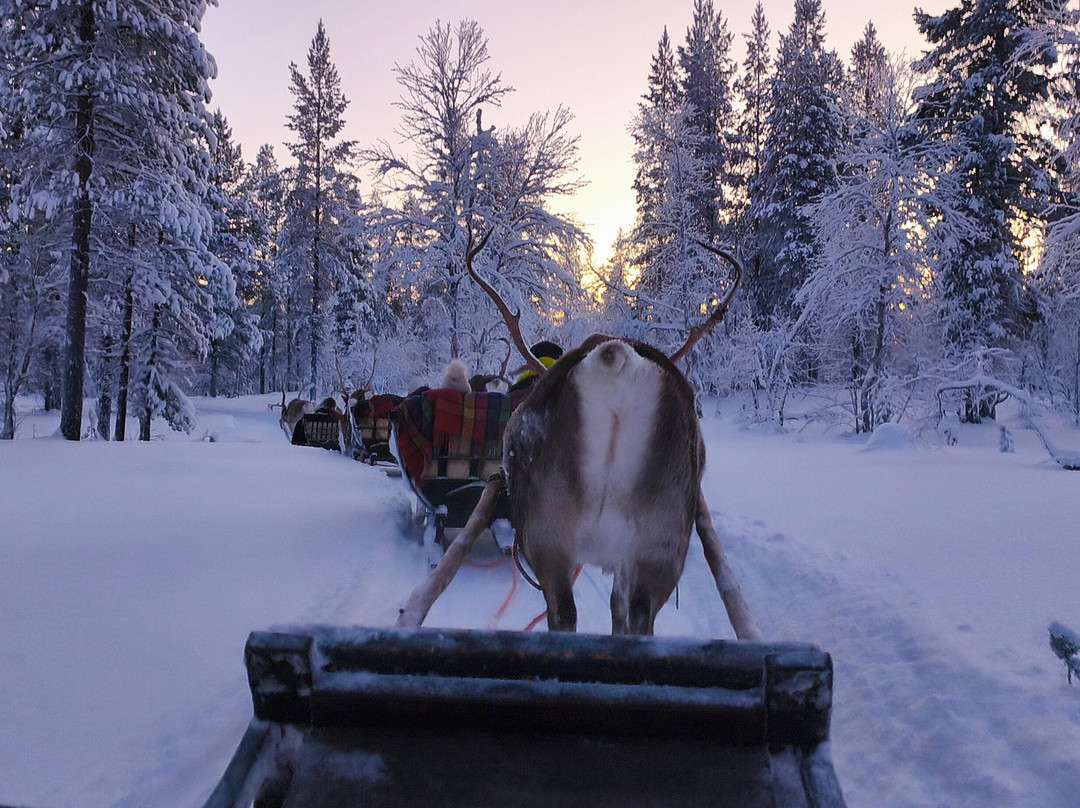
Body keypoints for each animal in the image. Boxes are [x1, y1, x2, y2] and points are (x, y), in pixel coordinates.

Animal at [466, 229, 744, 635]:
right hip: (658, 544)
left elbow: (614, 606)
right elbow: (617, 607)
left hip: (552, 538)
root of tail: (615, 360)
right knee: (636, 618)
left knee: (567, 615)